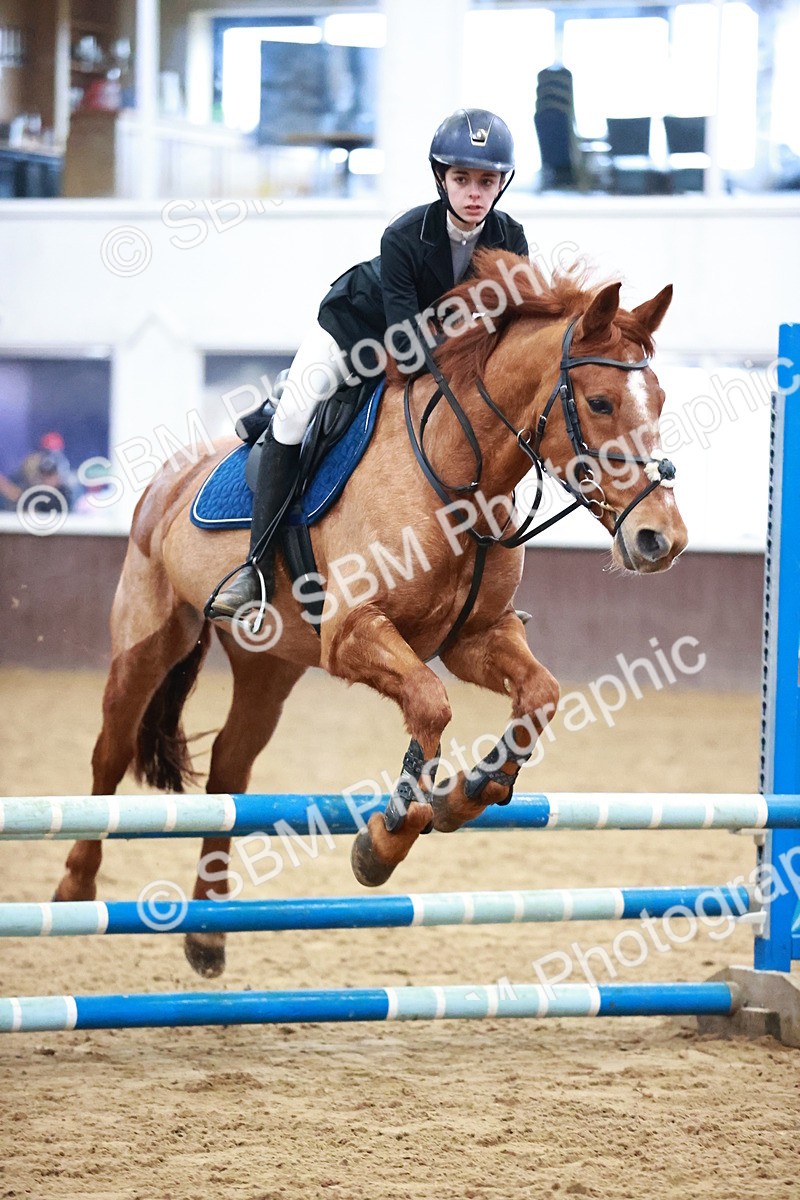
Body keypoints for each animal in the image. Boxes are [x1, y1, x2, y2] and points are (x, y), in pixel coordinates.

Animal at [53, 249, 687, 978]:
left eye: (660, 402)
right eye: (601, 401)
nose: (661, 539)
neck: (459, 474)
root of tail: (167, 476)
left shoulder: (474, 636)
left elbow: (538, 695)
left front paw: (469, 793)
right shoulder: (356, 633)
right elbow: (431, 705)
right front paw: (387, 839)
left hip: (270, 665)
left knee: (230, 772)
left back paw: (208, 932)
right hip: (148, 638)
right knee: (110, 753)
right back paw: (75, 889)